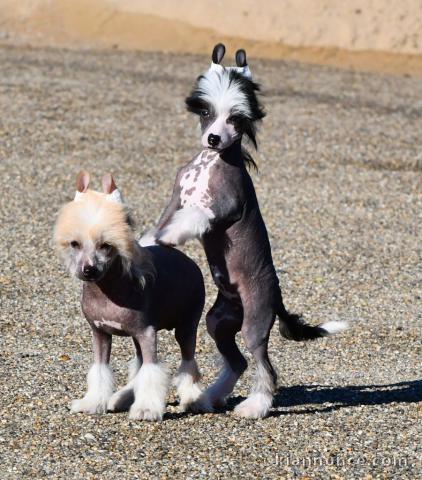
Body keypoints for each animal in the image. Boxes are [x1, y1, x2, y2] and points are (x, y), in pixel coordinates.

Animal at [54, 172, 209, 420]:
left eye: (106, 245)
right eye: (75, 244)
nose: (88, 270)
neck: (108, 291)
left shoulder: (147, 333)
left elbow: (151, 371)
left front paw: (146, 409)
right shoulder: (100, 334)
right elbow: (100, 370)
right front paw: (93, 402)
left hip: (186, 327)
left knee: (187, 363)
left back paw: (193, 398)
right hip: (137, 337)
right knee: (139, 366)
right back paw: (123, 397)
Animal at [142, 46, 346, 420]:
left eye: (236, 118)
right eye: (207, 111)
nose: (213, 138)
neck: (210, 162)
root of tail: (277, 298)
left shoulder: (222, 207)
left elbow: (193, 217)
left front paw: (171, 238)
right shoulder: (176, 197)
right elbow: (162, 221)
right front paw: (149, 242)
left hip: (254, 322)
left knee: (264, 367)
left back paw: (254, 406)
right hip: (218, 321)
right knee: (237, 362)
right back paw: (209, 397)